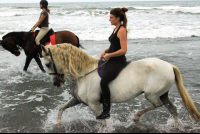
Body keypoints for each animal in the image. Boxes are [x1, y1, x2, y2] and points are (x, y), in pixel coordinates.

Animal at [41, 43, 200, 124]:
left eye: (48, 64)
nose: (56, 83)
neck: (83, 74)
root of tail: (170, 66)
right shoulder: (77, 100)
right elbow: (61, 108)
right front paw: (57, 123)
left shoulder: (94, 105)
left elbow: (103, 123)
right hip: (163, 94)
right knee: (172, 109)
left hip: (152, 94)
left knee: (158, 104)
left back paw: (136, 116)